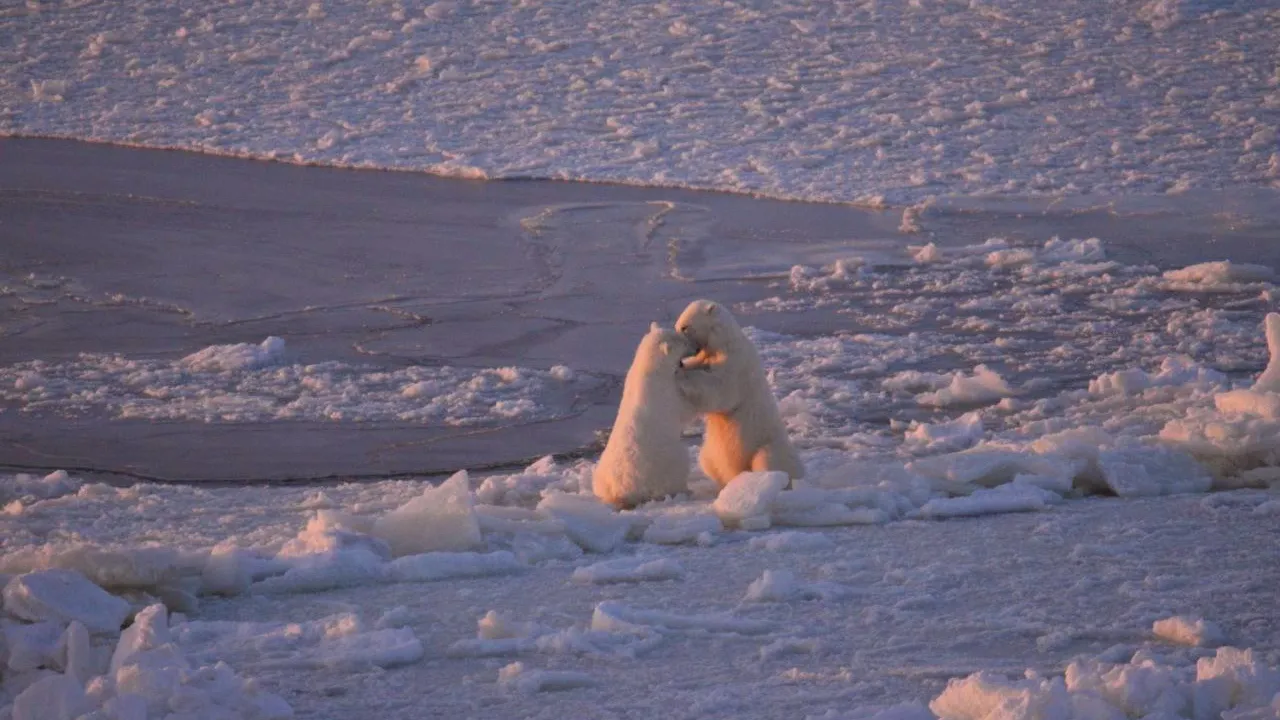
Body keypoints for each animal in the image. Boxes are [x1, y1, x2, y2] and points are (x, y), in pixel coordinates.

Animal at [591, 322, 696, 507]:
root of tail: (621, 491)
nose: (696, 347)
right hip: (663, 460)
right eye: (684, 343)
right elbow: (684, 409)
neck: (648, 368)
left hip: (602, 474)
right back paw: (684, 490)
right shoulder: (665, 390)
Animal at [675, 294, 803, 484]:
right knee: (706, 460)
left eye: (685, 327)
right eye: (678, 325)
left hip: (767, 443)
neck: (725, 342)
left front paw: (682, 376)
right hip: (710, 452)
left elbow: (721, 390)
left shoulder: (736, 362)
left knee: (768, 460)